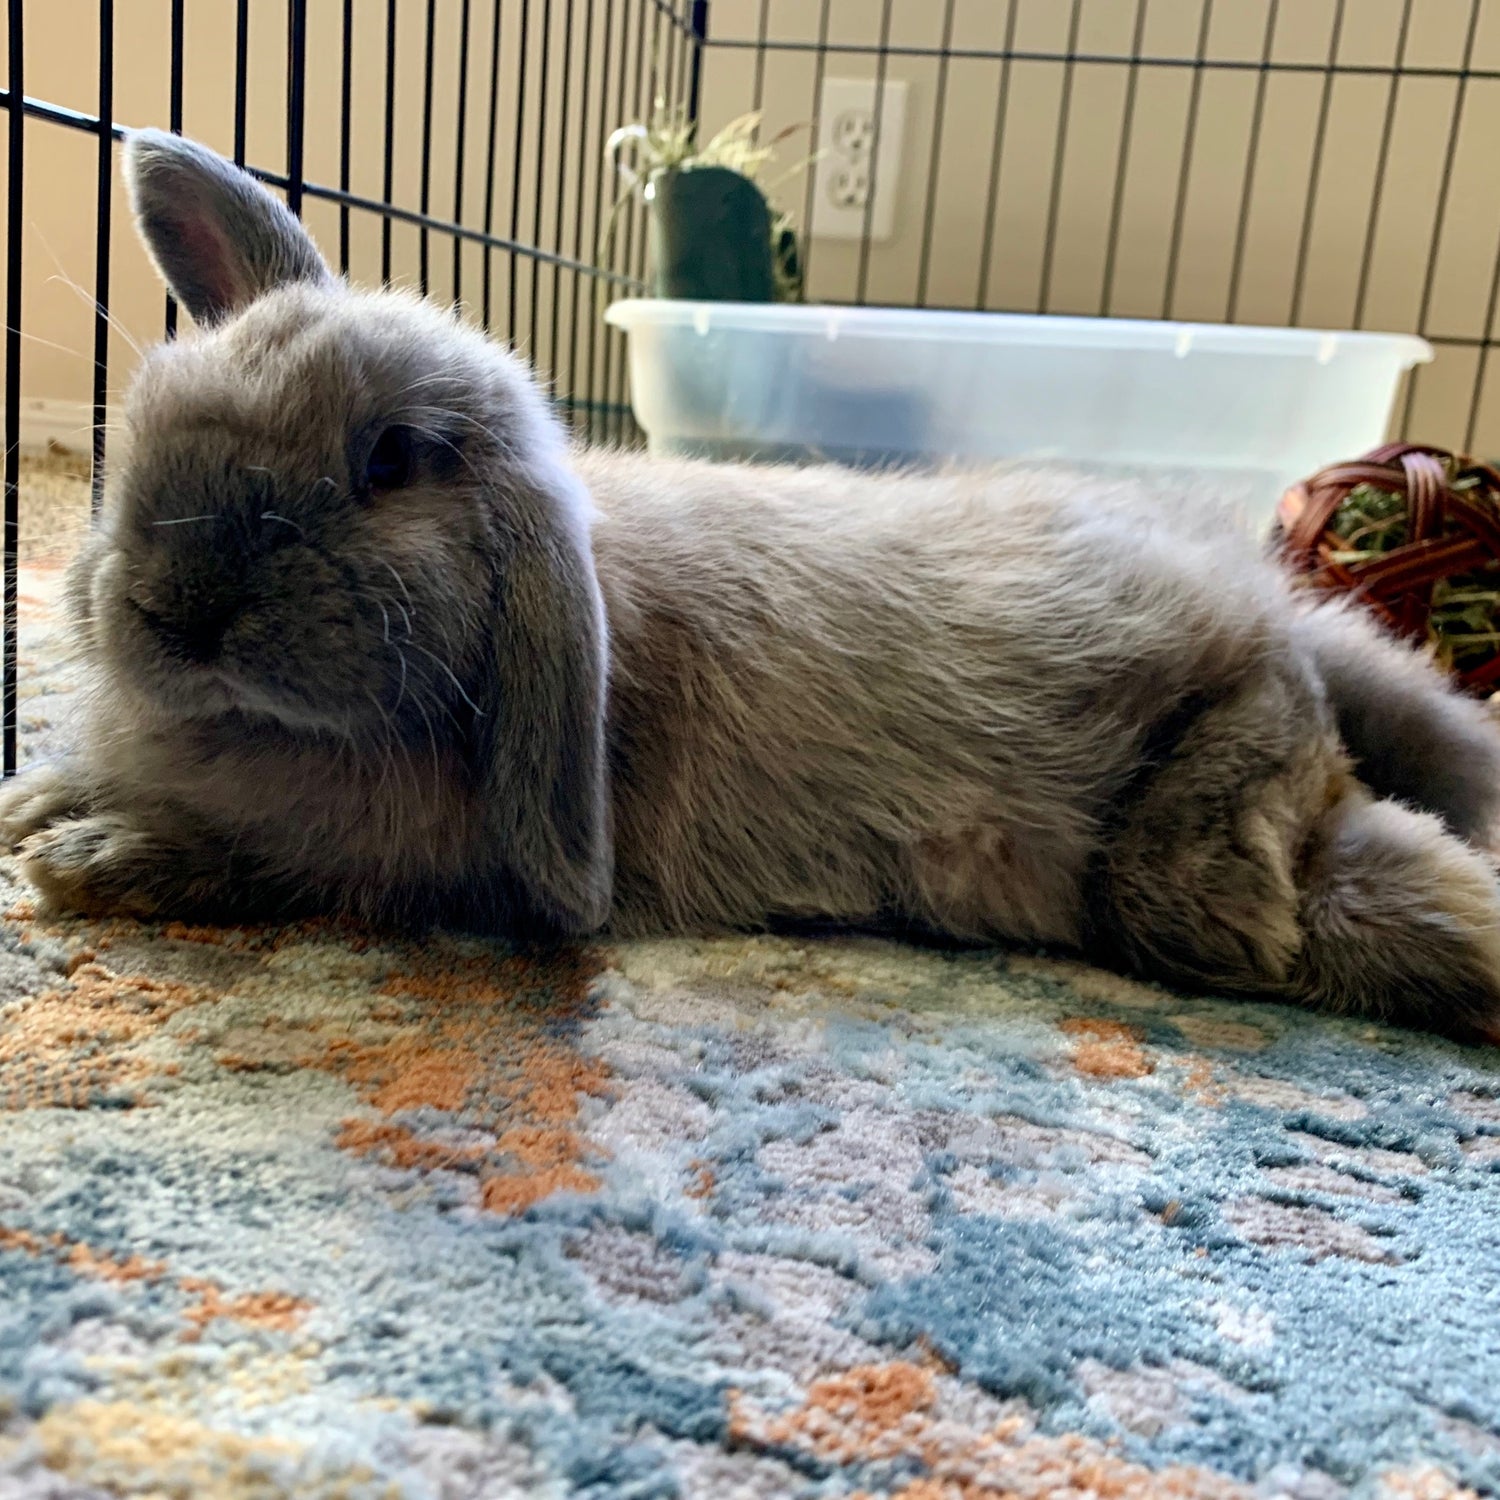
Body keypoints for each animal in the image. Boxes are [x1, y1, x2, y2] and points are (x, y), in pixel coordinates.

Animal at [4, 128, 1500, 1043]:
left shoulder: (411, 858)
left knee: (1264, 774)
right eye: (161, 395)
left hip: (1217, 770)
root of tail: (1260, 592)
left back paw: (1236, 889)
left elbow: (277, 859)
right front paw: (42, 806)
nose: (174, 608)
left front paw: (87, 859)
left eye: (390, 462)